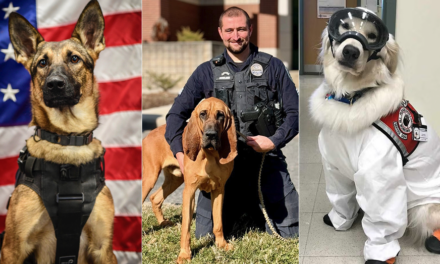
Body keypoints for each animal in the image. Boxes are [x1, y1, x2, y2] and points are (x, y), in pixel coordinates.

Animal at [1, 1, 117, 262]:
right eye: (42, 63)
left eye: (74, 59)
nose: (54, 84)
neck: (67, 138)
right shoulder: (13, 249)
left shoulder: (103, 248)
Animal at [142, 97, 237, 264]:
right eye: (202, 114)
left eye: (220, 115)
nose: (211, 135)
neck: (209, 156)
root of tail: (148, 135)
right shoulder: (189, 191)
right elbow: (185, 228)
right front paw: (185, 254)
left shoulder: (219, 190)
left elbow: (218, 223)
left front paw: (221, 245)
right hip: (150, 177)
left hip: (175, 179)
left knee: (155, 198)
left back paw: (163, 223)